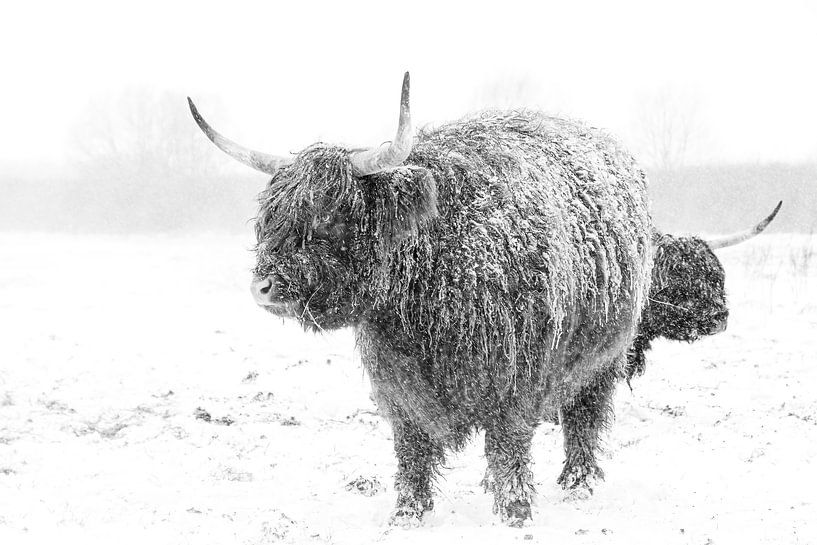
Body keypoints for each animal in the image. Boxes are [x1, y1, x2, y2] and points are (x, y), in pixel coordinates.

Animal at [188, 72, 652, 524]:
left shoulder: (516, 376)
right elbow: (412, 448)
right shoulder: (399, 384)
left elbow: (508, 446)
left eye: (329, 216)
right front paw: (407, 513)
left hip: (606, 357)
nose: (263, 287)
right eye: (271, 219)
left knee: (584, 417)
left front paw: (515, 511)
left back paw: (579, 483)